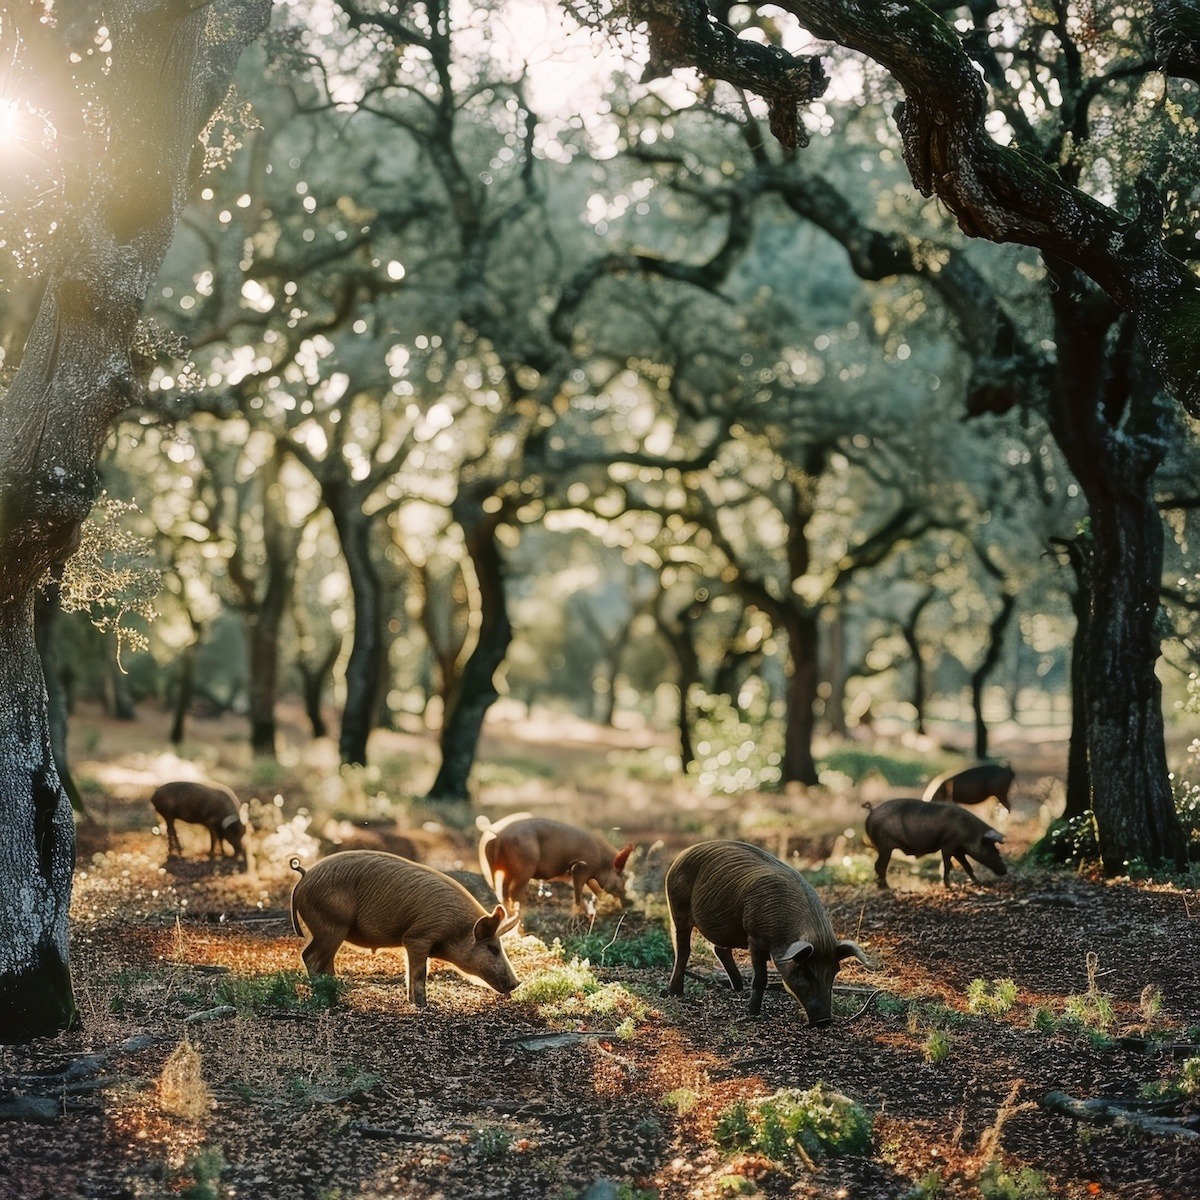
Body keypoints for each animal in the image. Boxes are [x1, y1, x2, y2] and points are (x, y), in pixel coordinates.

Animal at [289, 849, 520, 1008]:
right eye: (493, 948)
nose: (516, 983)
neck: (456, 928)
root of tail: (304, 878)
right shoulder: (419, 936)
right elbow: (419, 973)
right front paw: (424, 1006)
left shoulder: (411, 941)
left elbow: (410, 972)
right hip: (331, 924)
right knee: (311, 956)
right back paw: (329, 1000)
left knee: (325, 961)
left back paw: (337, 996)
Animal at [475, 816, 638, 916]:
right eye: (622, 876)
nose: (630, 902)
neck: (601, 861)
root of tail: (499, 836)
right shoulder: (582, 869)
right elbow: (579, 890)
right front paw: (583, 912)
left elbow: (595, 889)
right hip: (525, 868)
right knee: (515, 893)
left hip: (497, 867)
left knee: (502, 890)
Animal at [662, 835, 868, 1022]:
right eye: (806, 972)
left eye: (835, 971)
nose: (824, 1021)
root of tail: (681, 856)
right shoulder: (755, 937)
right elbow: (761, 978)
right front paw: (753, 1013)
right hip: (678, 909)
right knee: (683, 950)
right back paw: (675, 993)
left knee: (719, 948)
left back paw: (737, 988)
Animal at [868, 796, 1008, 892]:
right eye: (993, 850)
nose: (1005, 870)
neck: (969, 832)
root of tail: (871, 812)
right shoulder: (948, 845)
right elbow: (948, 865)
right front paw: (950, 887)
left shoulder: (958, 850)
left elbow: (967, 866)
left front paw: (979, 883)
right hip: (884, 846)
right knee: (879, 866)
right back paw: (887, 888)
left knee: (877, 865)